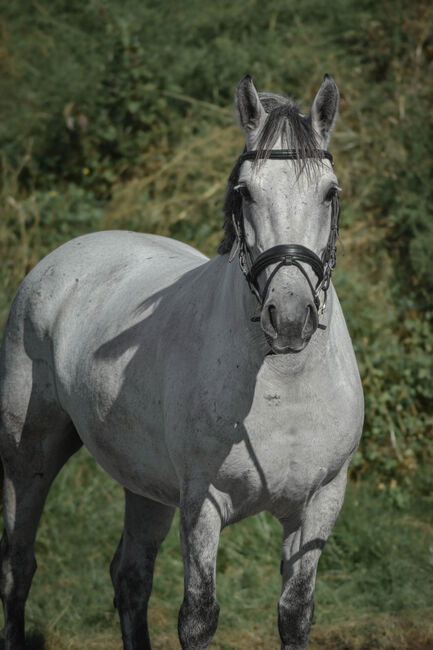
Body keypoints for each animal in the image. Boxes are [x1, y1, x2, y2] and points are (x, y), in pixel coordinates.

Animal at [0, 74, 363, 650]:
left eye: (330, 192)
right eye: (245, 193)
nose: (289, 318)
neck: (282, 385)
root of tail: (60, 259)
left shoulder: (320, 504)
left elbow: (295, 612)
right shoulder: (203, 504)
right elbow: (198, 616)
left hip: (144, 483)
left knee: (130, 576)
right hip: (28, 456)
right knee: (19, 565)